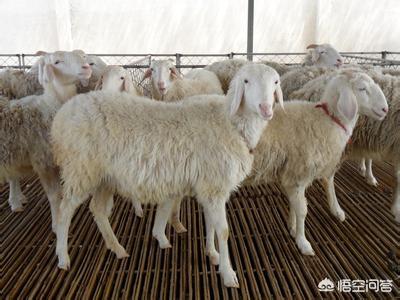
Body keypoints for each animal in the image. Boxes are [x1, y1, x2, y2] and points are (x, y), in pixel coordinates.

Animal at [51, 63, 282, 288]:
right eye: (246, 81)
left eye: (275, 82)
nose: (266, 109)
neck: (230, 122)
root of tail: (62, 115)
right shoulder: (214, 185)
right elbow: (223, 231)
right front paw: (228, 274)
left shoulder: (209, 186)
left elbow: (210, 224)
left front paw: (212, 253)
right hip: (81, 169)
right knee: (65, 211)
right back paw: (62, 257)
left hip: (104, 177)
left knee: (97, 209)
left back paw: (117, 248)